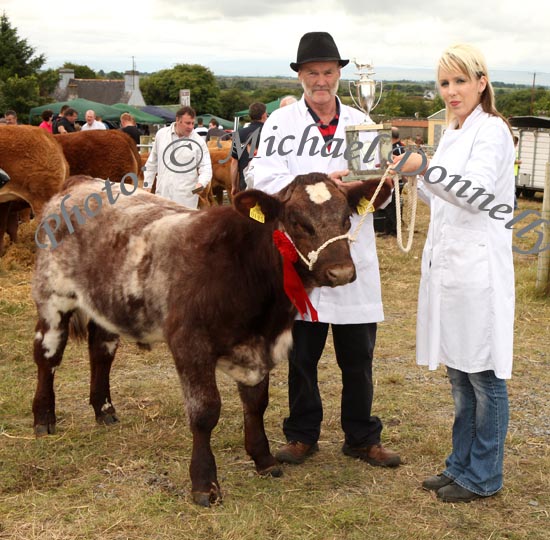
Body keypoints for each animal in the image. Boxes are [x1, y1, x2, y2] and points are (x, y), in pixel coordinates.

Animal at [31, 172, 392, 506]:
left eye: (346, 218)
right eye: (296, 221)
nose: (341, 272)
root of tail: (80, 182)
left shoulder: (260, 347)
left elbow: (256, 403)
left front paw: (263, 459)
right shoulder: (190, 345)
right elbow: (205, 412)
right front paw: (205, 484)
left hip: (106, 302)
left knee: (101, 350)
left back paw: (104, 409)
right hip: (53, 296)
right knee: (47, 355)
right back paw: (43, 417)